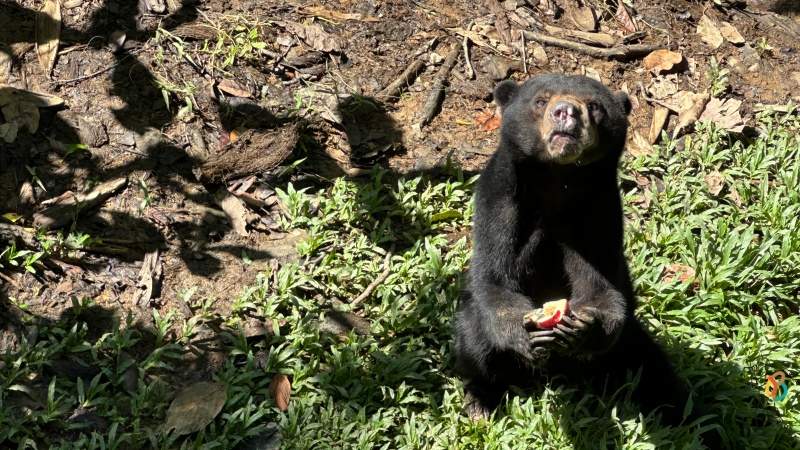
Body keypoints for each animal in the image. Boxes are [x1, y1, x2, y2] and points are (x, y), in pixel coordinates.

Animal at [453, 74, 692, 427]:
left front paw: (583, 328)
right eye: (541, 100)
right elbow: (494, 279)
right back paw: (480, 401)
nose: (566, 112)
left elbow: (601, 286)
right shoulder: (499, 198)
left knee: (653, 369)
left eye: (595, 107)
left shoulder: (600, 208)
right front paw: (527, 333)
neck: (558, 178)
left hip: (629, 343)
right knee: (473, 342)